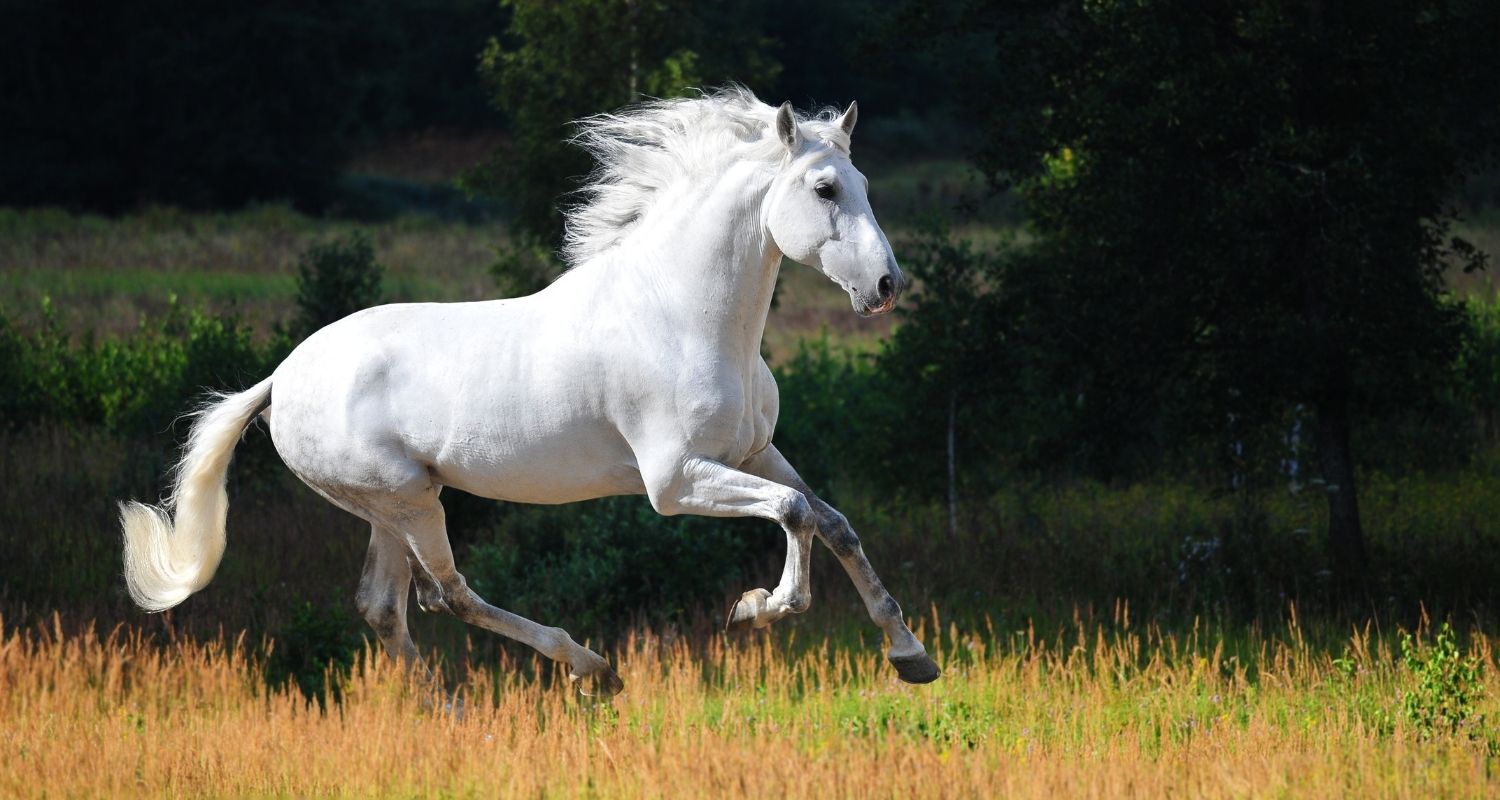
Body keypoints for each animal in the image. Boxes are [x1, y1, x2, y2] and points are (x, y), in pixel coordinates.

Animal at [120, 88, 936, 693]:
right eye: (824, 188)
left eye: (865, 185)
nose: (886, 286)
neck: (682, 314)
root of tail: (282, 379)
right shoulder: (674, 481)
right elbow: (795, 514)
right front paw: (760, 608)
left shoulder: (755, 452)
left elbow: (832, 521)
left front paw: (910, 654)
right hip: (407, 500)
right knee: (446, 593)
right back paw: (590, 669)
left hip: (389, 506)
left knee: (385, 608)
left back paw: (451, 716)